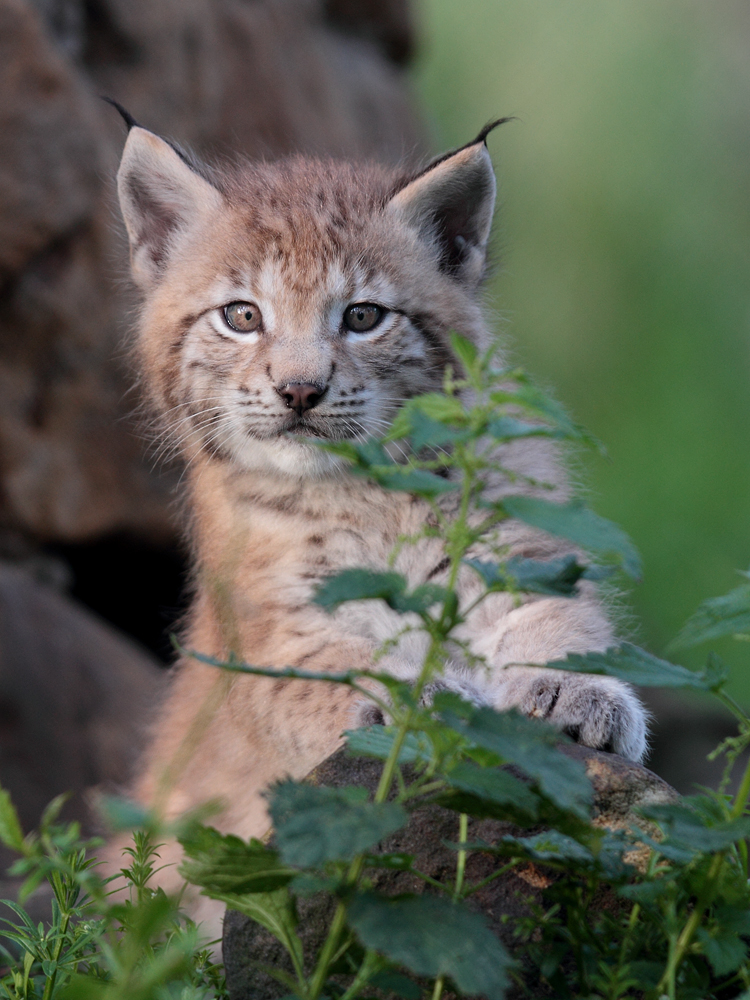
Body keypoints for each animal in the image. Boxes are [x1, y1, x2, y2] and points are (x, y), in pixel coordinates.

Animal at [108, 115, 648, 936]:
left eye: (363, 317)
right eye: (242, 316)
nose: (300, 391)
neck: (364, 493)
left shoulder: (521, 547)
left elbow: (563, 622)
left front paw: (577, 690)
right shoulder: (272, 630)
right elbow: (331, 674)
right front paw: (412, 705)